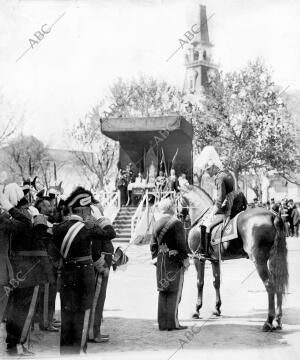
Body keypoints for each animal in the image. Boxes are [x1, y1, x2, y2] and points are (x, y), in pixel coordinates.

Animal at [178, 186, 288, 332]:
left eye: (176, 198)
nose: (178, 215)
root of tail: (273, 215)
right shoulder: (214, 260)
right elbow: (216, 282)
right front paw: (217, 308)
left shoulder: (198, 258)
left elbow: (199, 283)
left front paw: (197, 310)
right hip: (273, 258)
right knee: (278, 283)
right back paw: (278, 320)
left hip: (259, 260)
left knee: (270, 285)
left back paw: (268, 321)